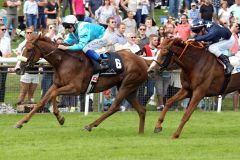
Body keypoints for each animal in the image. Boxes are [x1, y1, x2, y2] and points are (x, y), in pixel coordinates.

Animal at [15, 34, 148, 134]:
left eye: (29, 49)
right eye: (22, 48)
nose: (18, 68)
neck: (64, 61)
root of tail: (142, 60)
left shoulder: (75, 88)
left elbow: (54, 94)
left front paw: (60, 117)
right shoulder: (57, 84)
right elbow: (41, 102)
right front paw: (20, 122)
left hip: (127, 85)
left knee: (114, 107)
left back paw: (90, 126)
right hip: (130, 88)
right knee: (141, 110)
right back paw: (141, 132)